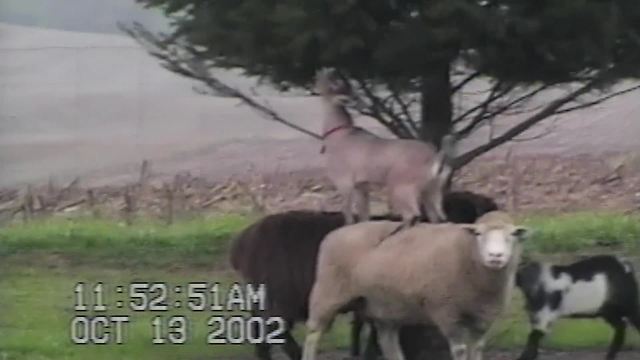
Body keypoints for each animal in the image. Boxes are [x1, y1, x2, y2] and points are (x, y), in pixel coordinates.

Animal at [302, 210, 532, 360]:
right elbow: (460, 350)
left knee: (389, 342)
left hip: (383, 306)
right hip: (327, 293)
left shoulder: (484, 317)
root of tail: (335, 233)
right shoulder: (447, 311)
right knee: (313, 334)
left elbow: (476, 349)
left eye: (512, 235)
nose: (495, 256)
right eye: (478, 234)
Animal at [316, 68, 456, 228]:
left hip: (401, 185)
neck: (339, 136)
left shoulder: (343, 180)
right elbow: (364, 216)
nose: (318, 76)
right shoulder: (361, 185)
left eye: (328, 85)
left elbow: (348, 215)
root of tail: (435, 160)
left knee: (412, 214)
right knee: (434, 218)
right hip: (432, 190)